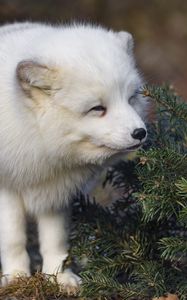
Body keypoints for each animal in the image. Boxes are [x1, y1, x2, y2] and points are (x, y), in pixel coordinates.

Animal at [0, 22, 148, 290]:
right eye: (97, 108)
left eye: (131, 98)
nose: (140, 133)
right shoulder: (6, 189)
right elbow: (12, 239)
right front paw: (16, 277)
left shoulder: (55, 193)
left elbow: (55, 241)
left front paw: (59, 276)